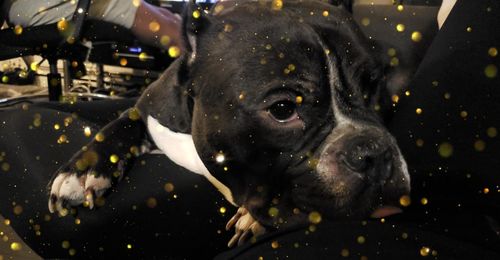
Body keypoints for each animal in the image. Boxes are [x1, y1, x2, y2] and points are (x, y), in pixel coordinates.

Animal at [48, 0, 410, 246]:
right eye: (282, 109)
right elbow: (119, 126)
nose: (373, 151)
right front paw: (81, 173)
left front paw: (252, 221)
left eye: (375, 91)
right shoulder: (147, 107)